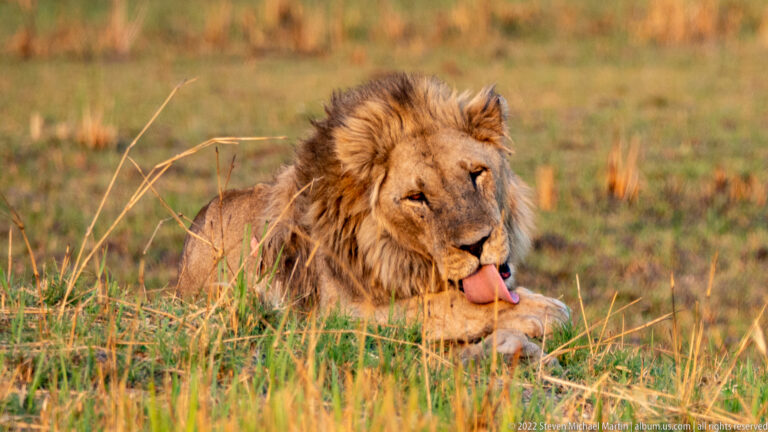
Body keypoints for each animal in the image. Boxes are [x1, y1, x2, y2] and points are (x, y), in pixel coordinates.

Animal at [176, 73, 570, 361]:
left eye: (477, 173)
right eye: (416, 197)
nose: (476, 245)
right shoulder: (335, 316)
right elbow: (440, 305)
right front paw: (544, 309)